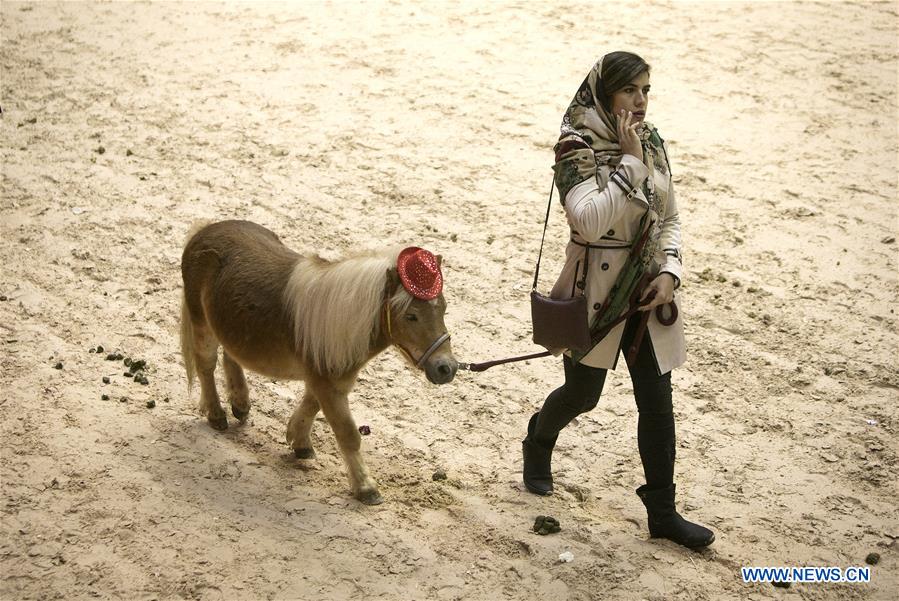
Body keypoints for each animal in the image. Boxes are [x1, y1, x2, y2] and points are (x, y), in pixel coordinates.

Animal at [179, 220, 458, 504]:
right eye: (411, 316)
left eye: (444, 309)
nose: (446, 368)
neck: (340, 318)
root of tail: (204, 231)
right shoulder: (328, 383)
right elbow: (347, 433)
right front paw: (366, 488)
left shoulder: (329, 381)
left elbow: (311, 405)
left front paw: (299, 441)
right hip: (202, 324)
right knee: (206, 366)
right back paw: (216, 414)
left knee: (230, 355)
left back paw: (240, 404)